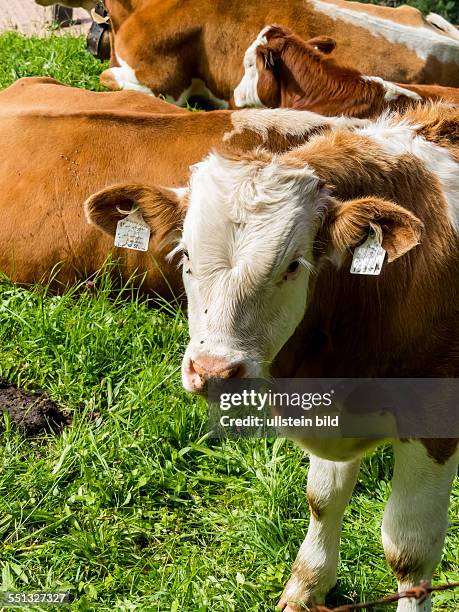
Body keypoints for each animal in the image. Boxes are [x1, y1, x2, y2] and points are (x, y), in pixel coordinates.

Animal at [131, 103, 458, 608]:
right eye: (184, 255)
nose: (213, 370)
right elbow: (323, 499)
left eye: (292, 266)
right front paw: (307, 585)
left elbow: (409, 550)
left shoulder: (435, 420)